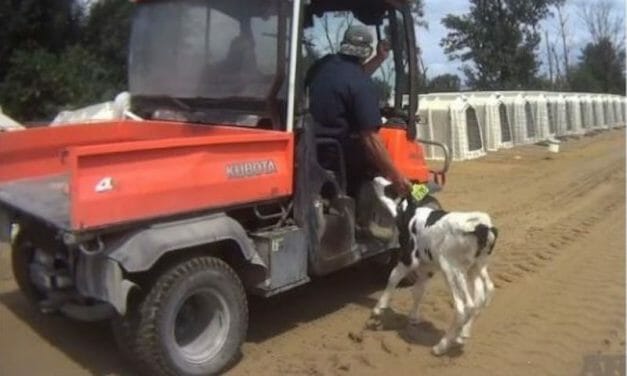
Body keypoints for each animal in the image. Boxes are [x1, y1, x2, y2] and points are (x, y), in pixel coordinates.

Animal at [370, 177, 498, 356]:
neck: (411, 214)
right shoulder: (427, 266)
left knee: (464, 306)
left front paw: (379, 308)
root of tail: (483, 227)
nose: (375, 179)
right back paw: (462, 335)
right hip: (476, 267)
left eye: (391, 188)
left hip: (451, 269)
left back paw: (441, 346)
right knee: (482, 296)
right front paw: (413, 317)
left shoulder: (409, 257)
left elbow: (393, 276)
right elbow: (418, 290)